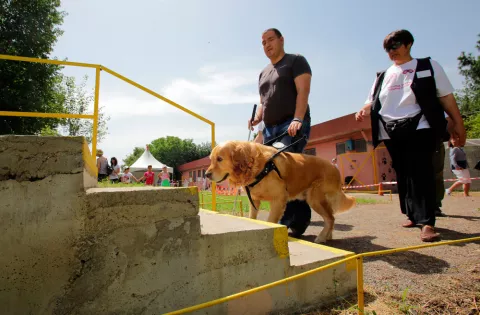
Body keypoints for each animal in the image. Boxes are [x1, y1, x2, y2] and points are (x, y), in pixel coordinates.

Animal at [204, 141, 354, 244]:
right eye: (211, 159)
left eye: (220, 159)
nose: (206, 174)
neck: (258, 165)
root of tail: (334, 167)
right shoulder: (255, 200)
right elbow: (252, 218)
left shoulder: (279, 198)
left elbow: (271, 221)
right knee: (331, 217)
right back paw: (328, 236)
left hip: (315, 198)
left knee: (330, 218)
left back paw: (321, 237)